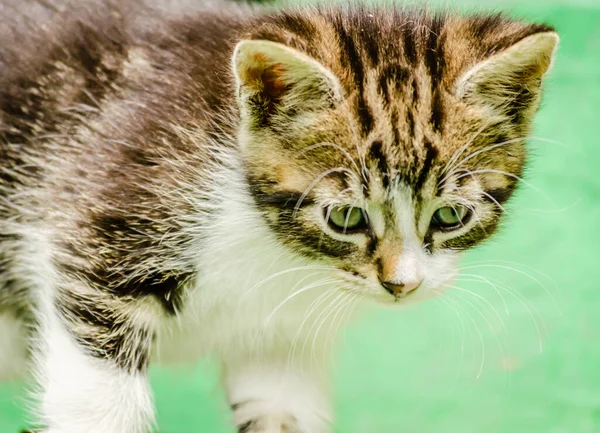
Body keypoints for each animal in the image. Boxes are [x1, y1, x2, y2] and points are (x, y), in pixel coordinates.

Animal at [0, 0, 556, 432]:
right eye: (346, 218)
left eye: (449, 216)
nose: (403, 285)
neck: (273, 245)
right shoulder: (105, 217)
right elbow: (95, 393)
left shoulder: (280, 339)